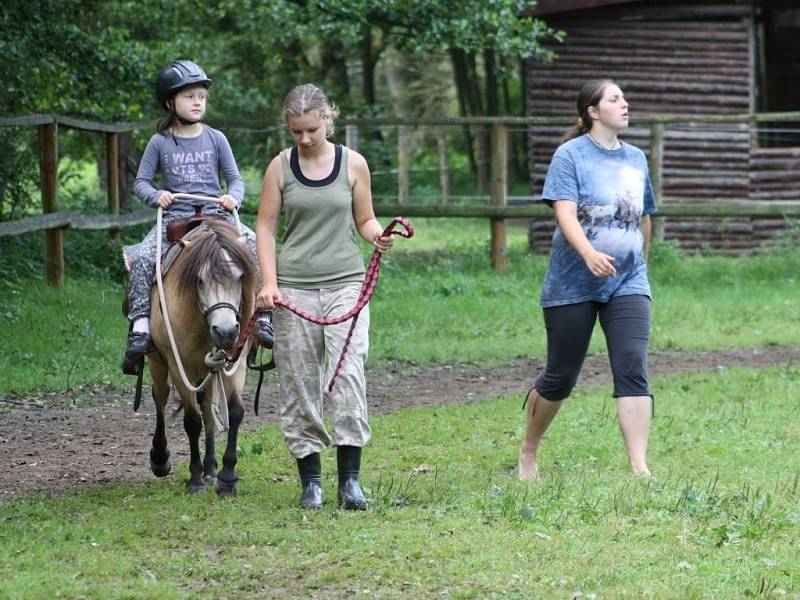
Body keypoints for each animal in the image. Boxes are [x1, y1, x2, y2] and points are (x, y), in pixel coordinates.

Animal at [145, 218, 255, 494]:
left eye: (240, 277)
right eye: (200, 280)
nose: (226, 331)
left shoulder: (235, 364)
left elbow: (234, 413)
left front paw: (226, 477)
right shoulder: (179, 366)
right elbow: (192, 422)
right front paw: (194, 478)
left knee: (207, 410)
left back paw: (211, 469)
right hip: (157, 362)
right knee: (160, 397)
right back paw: (160, 458)